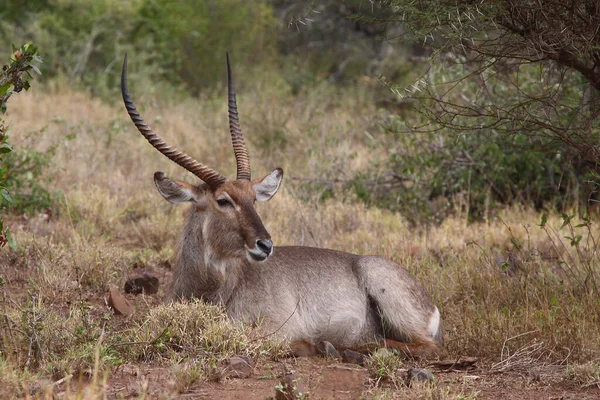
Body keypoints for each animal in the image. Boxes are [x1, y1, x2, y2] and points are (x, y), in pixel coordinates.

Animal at [119, 54, 442, 358]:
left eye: (253, 198)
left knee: (423, 346)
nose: (265, 245)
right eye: (223, 200)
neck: (214, 286)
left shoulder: (276, 328)